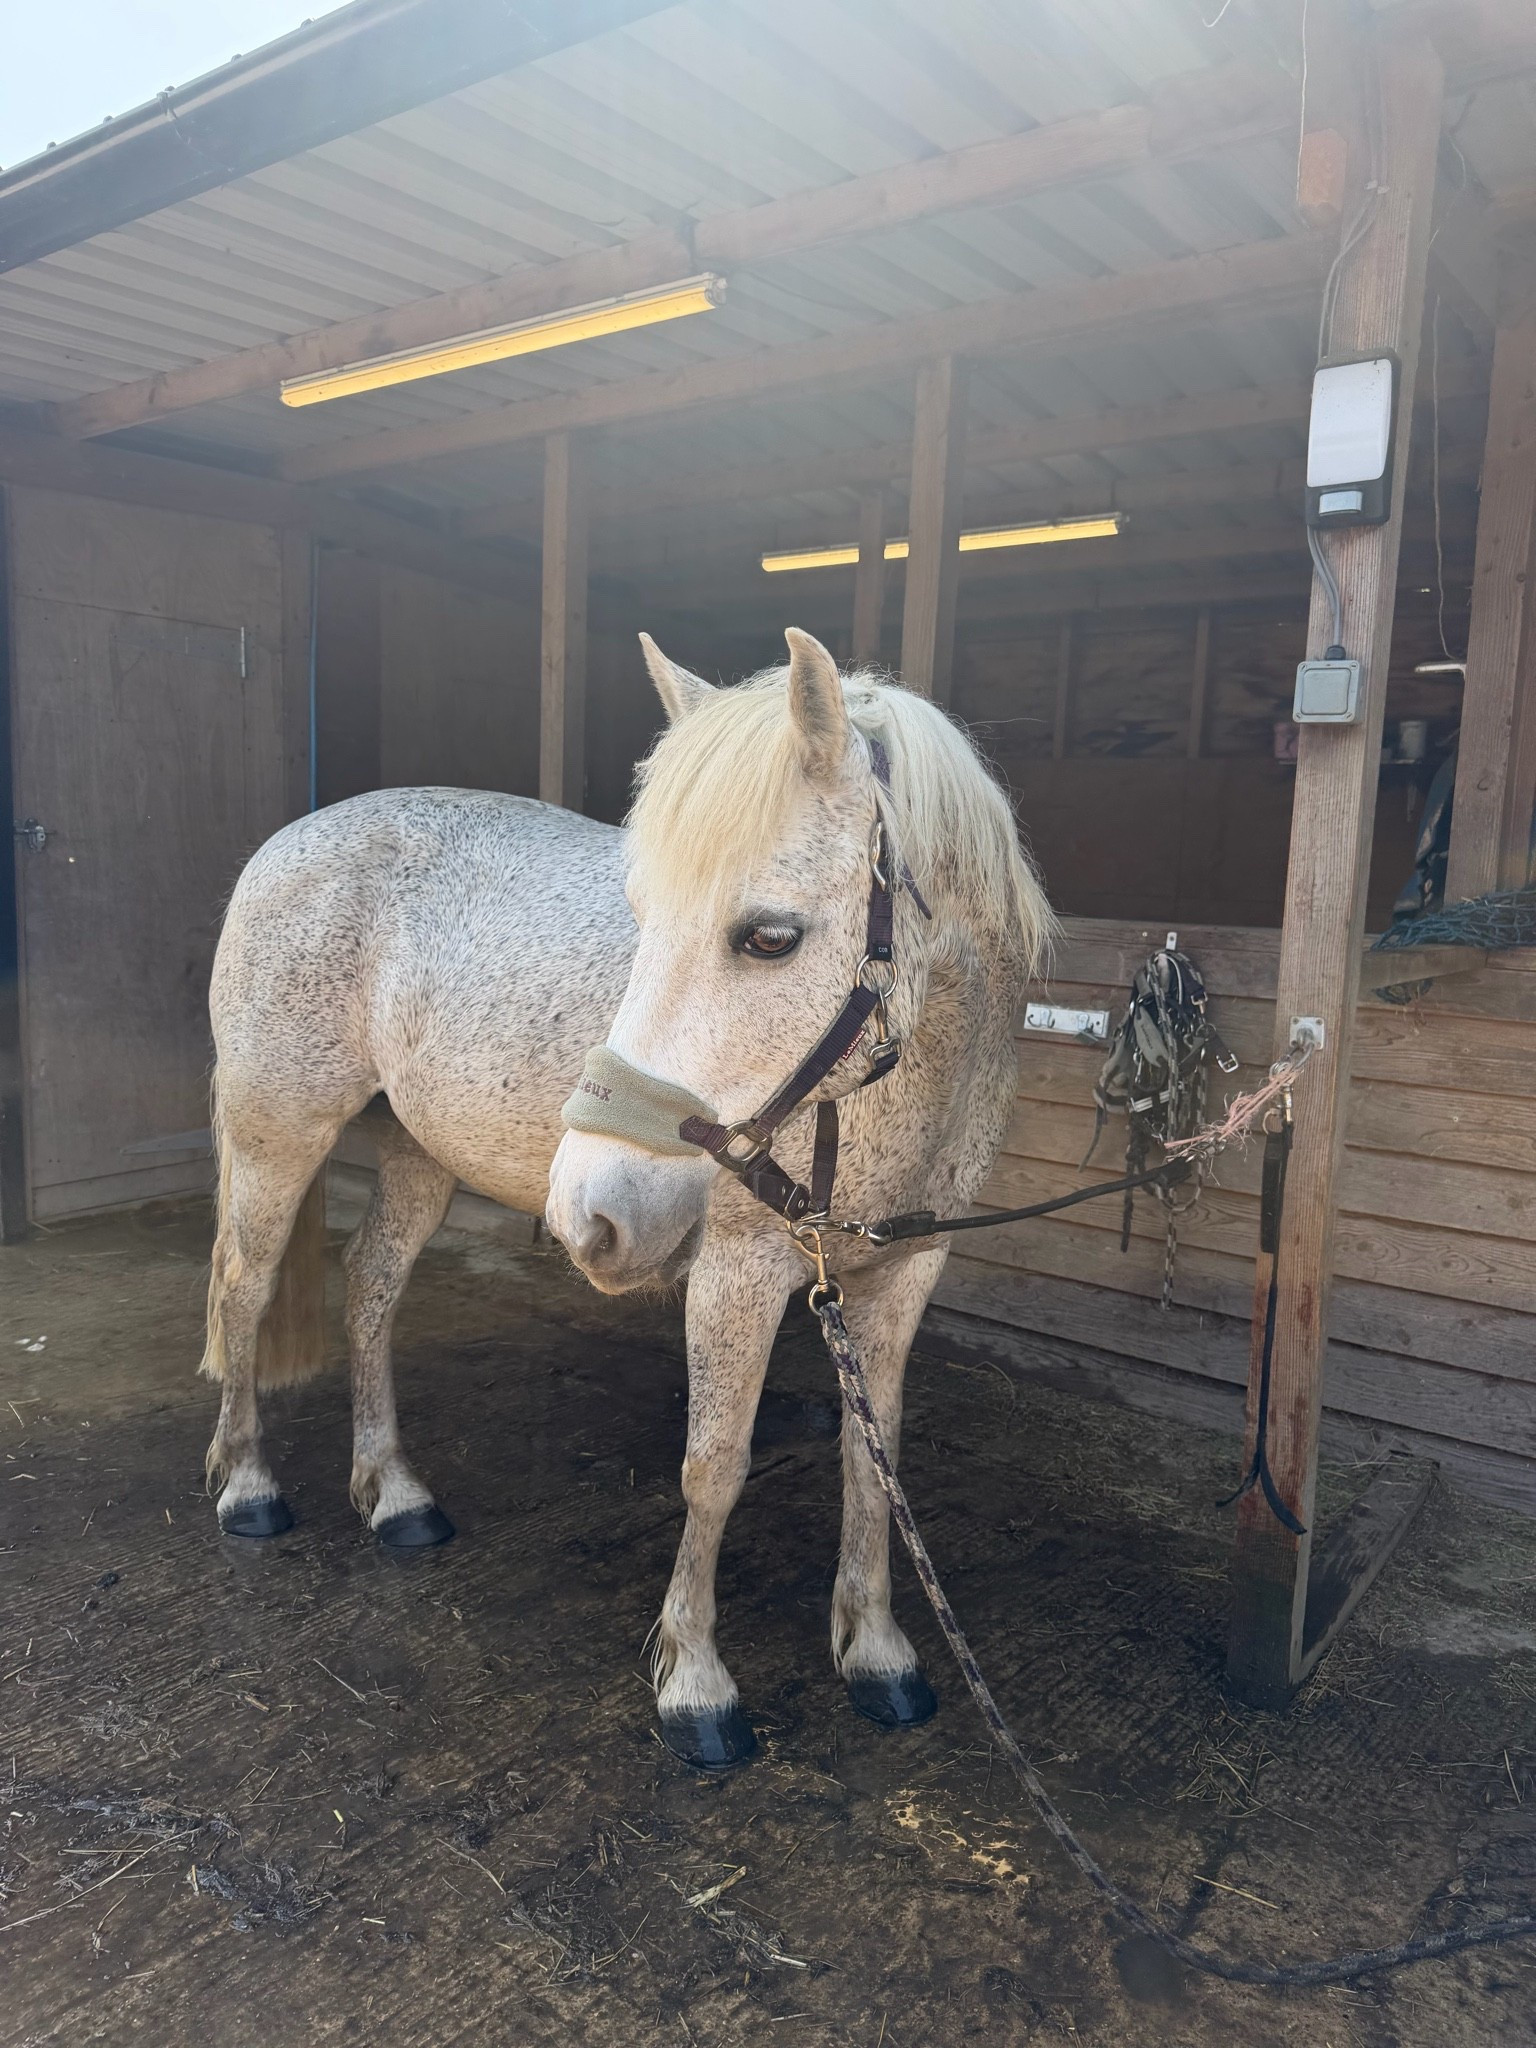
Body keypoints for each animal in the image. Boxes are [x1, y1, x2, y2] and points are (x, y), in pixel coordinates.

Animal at [201, 627, 1051, 1767]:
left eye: (769, 936)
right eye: (641, 916)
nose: (585, 1215)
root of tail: (284, 844)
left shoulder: (901, 1272)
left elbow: (874, 1459)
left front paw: (876, 1650)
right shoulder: (738, 1274)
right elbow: (714, 1467)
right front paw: (695, 1683)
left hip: (418, 1151)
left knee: (371, 1284)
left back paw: (396, 1494)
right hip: (276, 1133)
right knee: (244, 1288)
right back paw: (248, 1485)